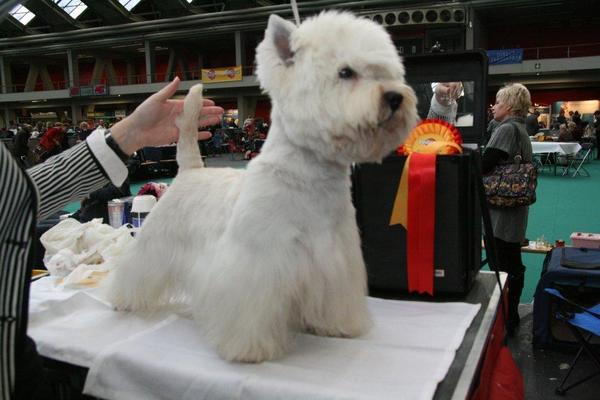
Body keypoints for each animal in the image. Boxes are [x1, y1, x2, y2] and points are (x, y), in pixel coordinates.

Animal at [106, 10, 418, 362]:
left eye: (387, 72)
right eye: (345, 72)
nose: (395, 97)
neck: (309, 177)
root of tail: (189, 169)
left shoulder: (338, 259)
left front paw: (338, 326)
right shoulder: (256, 264)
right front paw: (250, 349)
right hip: (156, 240)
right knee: (136, 268)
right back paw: (124, 299)